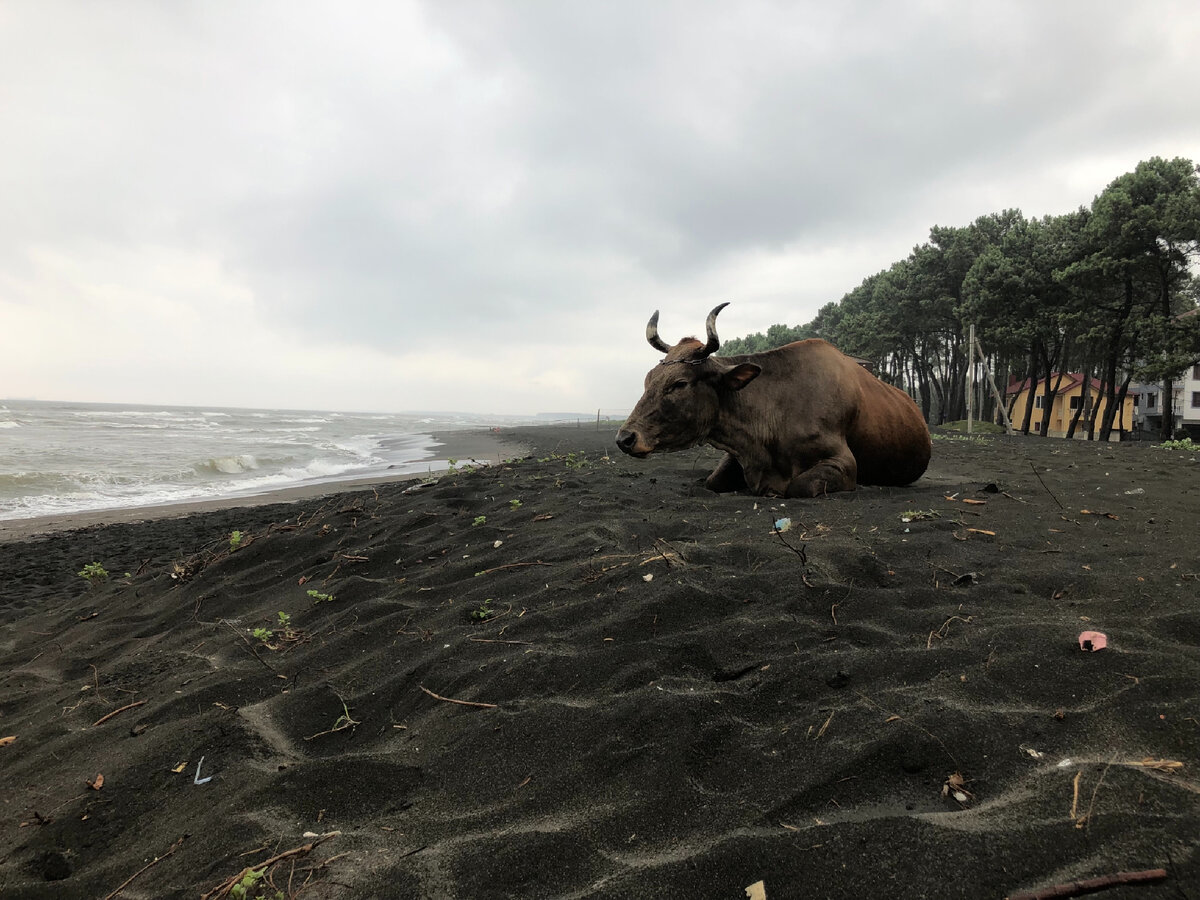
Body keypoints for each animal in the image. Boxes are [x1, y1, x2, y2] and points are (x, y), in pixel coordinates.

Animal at [614, 304, 931, 501]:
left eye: (679, 383)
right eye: (649, 378)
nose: (625, 438)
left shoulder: (844, 463)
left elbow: (798, 486)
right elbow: (712, 481)